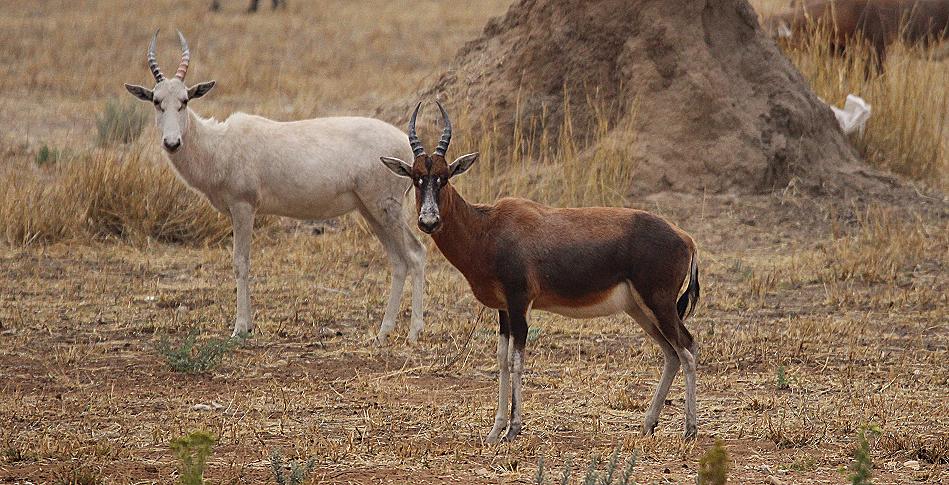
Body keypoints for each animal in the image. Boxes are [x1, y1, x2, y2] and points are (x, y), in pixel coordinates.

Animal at [124, 30, 428, 342]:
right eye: (156, 101)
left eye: (184, 100)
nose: (172, 142)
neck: (220, 143)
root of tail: (408, 151)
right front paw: (246, 325)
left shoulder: (243, 207)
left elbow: (241, 262)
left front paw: (240, 328)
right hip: (370, 211)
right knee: (398, 260)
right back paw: (383, 332)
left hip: (385, 209)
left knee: (415, 254)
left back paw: (413, 333)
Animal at [382, 102, 700, 442]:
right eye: (416, 177)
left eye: (444, 177)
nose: (428, 221)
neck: (489, 226)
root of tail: (685, 237)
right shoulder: (504, 309)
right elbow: (501, 361)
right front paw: (495, 431)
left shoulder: (521, 302)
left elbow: (516, 361)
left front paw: (513, 430)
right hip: (639, 309)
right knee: (671, 353)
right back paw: (648, 424)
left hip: (659, 303)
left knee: (688, 348)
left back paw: (690, 430)